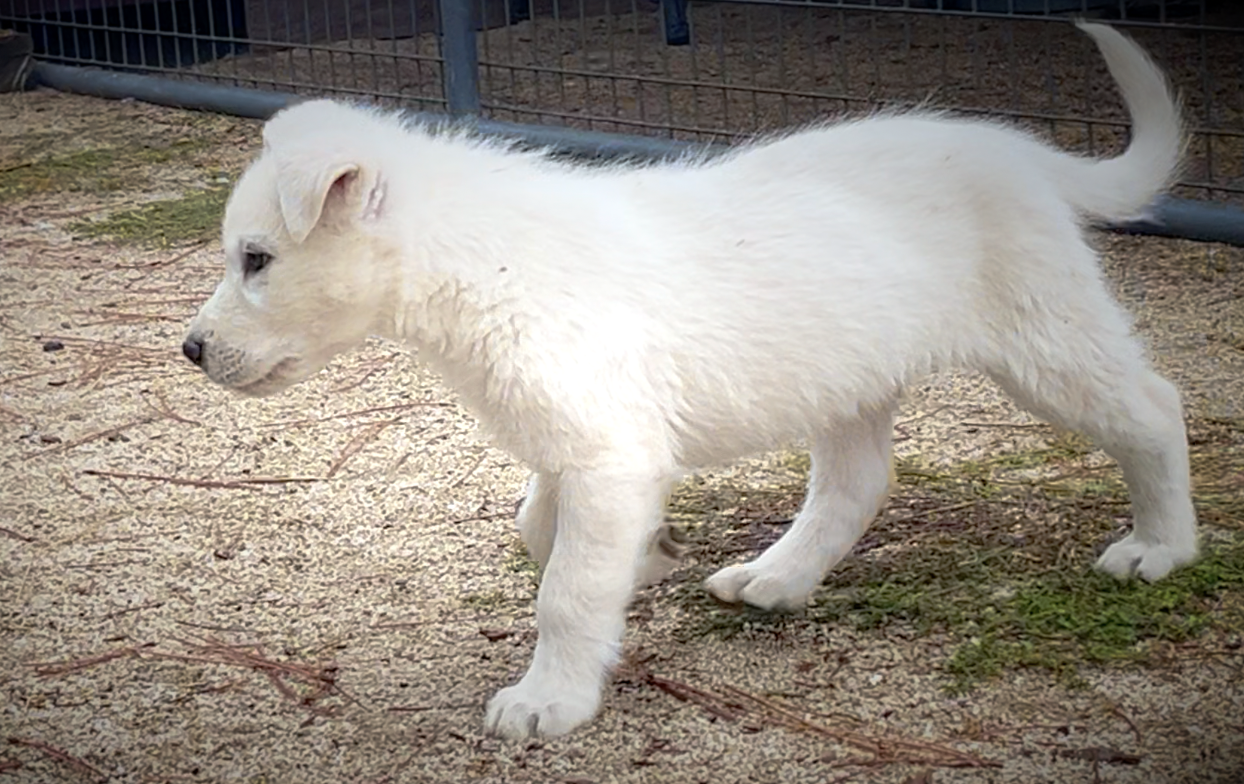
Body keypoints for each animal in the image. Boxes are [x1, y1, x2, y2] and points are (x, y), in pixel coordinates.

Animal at [181, 19, 1194, 741]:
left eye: (257, 259)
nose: (191, 350)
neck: (484, 261)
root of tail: (1018, 153)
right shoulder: (588, 444)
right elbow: (538, 529)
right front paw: (649, 553)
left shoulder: (604, 452)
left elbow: (564, 589)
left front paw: (550, 699)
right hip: (848, 373)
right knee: (857, 484)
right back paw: (779, 577)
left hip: (1045, 342)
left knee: (1153, 409)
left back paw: (1161, 547)